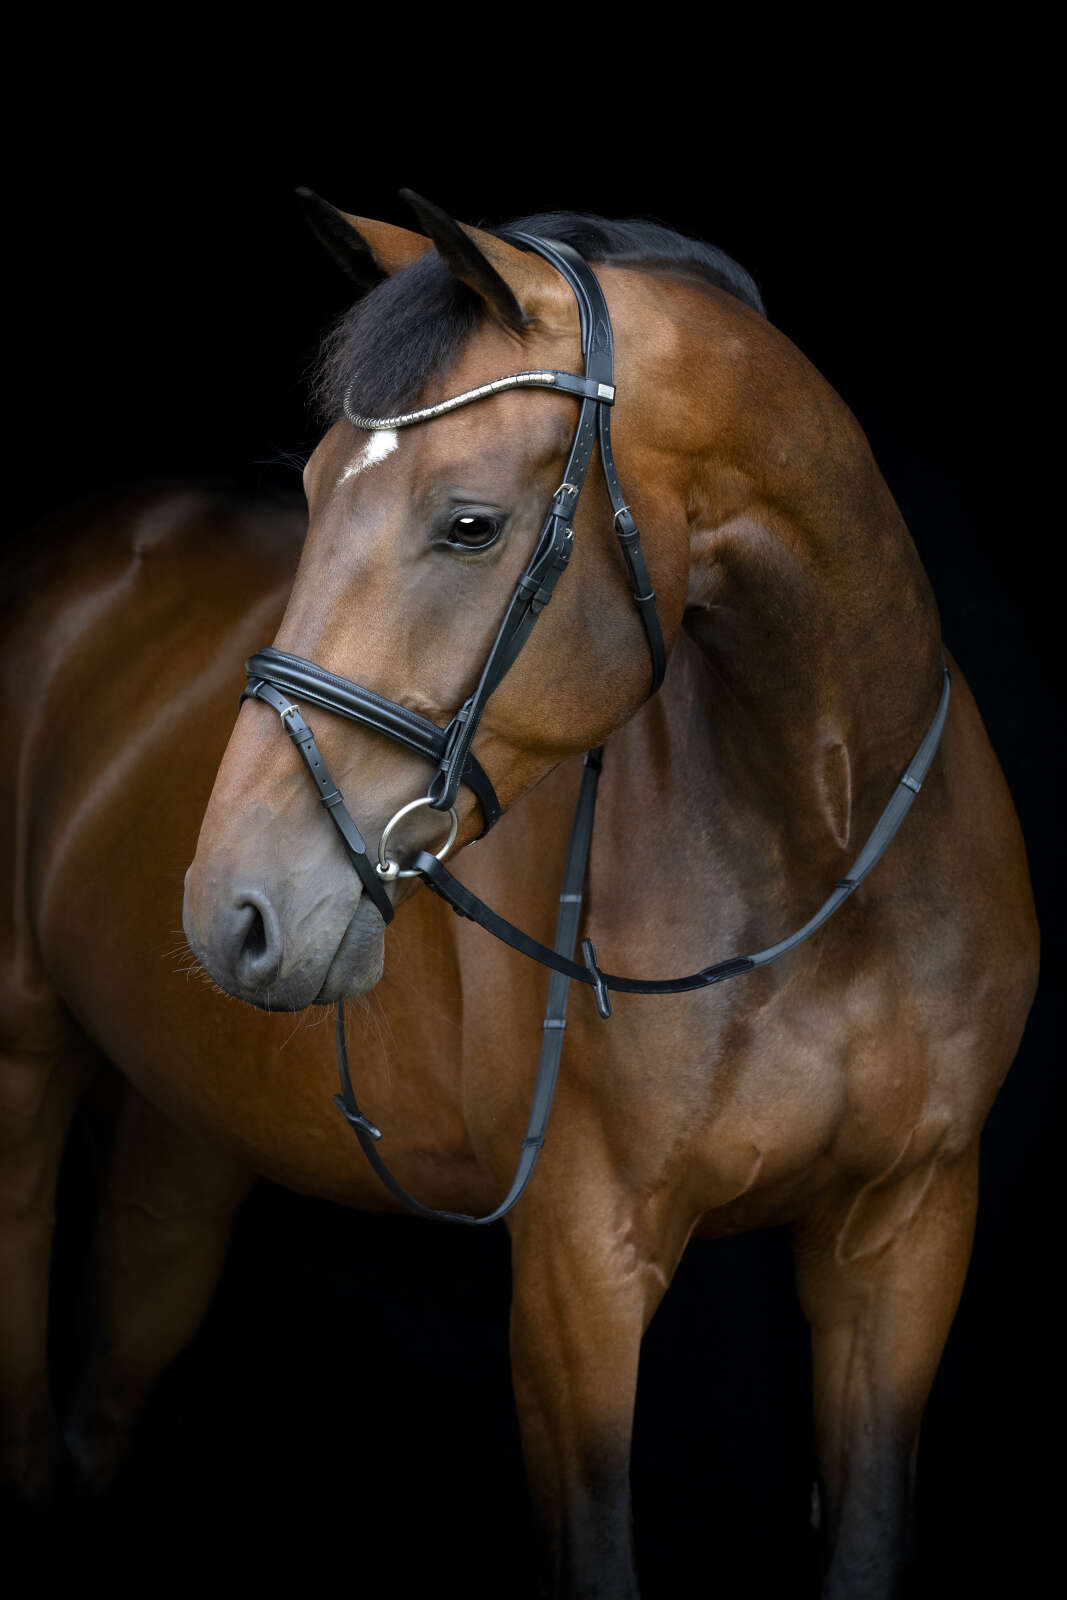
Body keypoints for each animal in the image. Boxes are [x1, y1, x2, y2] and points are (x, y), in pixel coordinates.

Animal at [1, 193, 1039, 1599]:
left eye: (470, 523)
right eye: (312, 489)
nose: (234, 911)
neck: (820, 860)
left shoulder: (904, 1239)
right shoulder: (575, 1273)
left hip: (184, 1131)